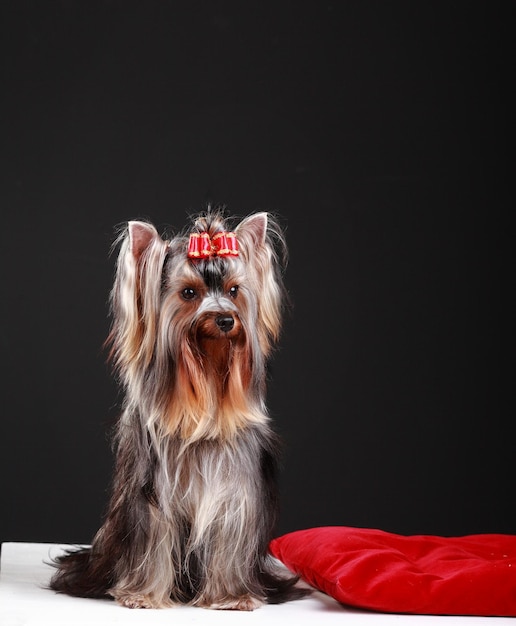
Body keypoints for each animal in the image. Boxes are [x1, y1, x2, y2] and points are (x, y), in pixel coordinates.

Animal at [49, 207, 306, 608]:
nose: (226, 319)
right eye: (188, 293)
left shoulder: (235, 495)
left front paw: (232, 596)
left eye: (234, 291)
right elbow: (154, 539)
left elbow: (228, 537)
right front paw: (143, 596)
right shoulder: (152, 495)